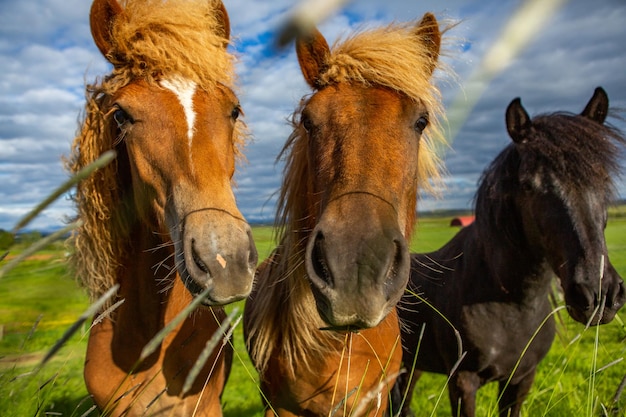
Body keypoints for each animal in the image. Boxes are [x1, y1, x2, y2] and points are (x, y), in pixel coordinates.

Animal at [243, 13, 448, 416]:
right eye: (308, 120)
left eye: (421, 121)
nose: (356, 269)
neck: (339, 347)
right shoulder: (277, 404)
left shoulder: (375, 401)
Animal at [392, 85, 620, 416]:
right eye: (528, 185)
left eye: (604, 179)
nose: (599, 294)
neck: (512, 306)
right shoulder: (463, 381)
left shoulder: (521, 380)